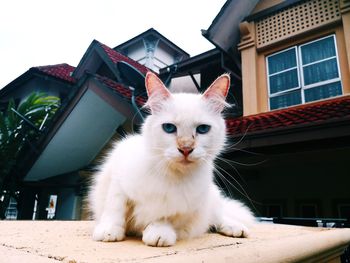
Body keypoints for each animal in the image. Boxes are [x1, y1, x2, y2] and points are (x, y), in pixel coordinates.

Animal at [89, 72, 254, 248]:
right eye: (169, 128)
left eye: (203, 129)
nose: (186, 149)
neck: (172, 175)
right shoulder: (119, 183)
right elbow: (114, 209)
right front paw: (109, 231)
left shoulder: (178, 207)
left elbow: (162, 218)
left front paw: (158, 234)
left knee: (218, 217)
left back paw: (236, 228)